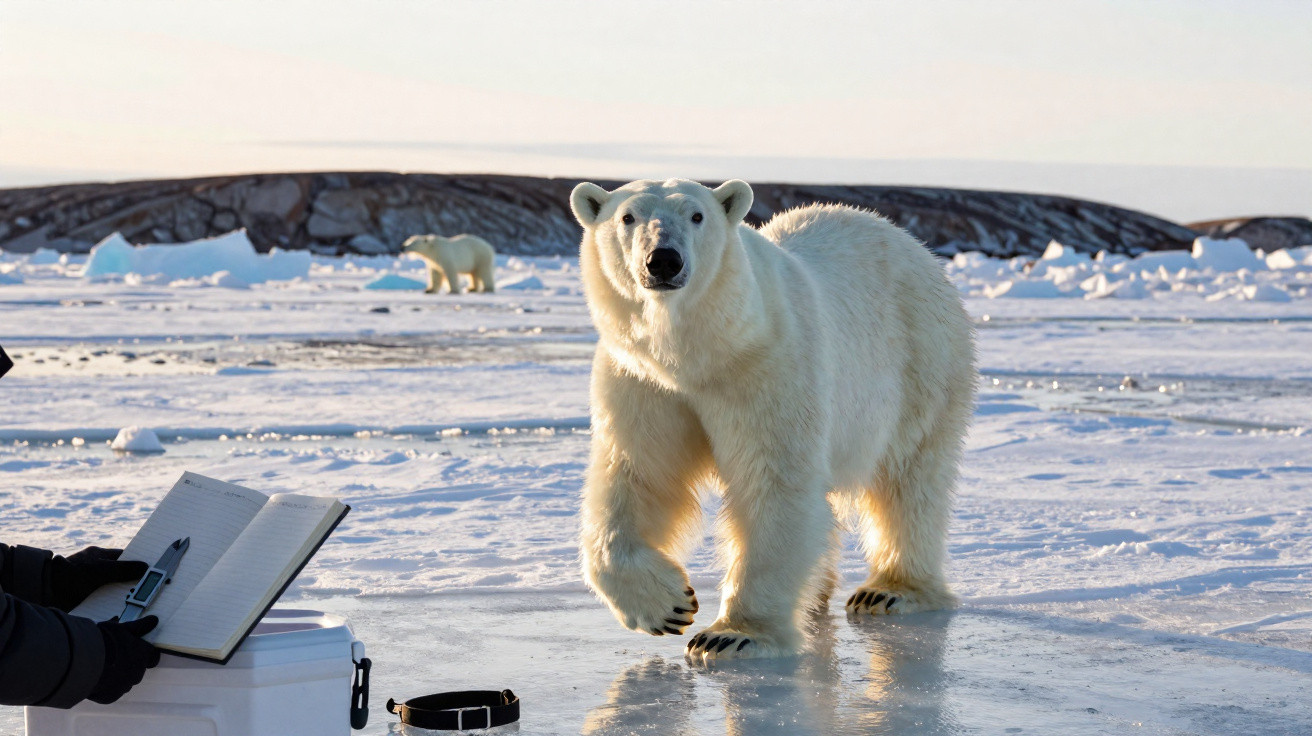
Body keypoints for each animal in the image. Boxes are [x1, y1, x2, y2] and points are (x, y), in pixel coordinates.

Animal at [569, 178, 976, 662]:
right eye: (627, 217)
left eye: (696, 215)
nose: (664, 259)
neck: (697, 355)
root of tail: (912, 245)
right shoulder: (644, 381)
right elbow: (640, 475)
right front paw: (667, 605)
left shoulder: (767, 366)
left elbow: (773, 483)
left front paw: (731, 634)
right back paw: (818, 593)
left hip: (923, 361)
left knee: (910, 479)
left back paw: (890, 590)